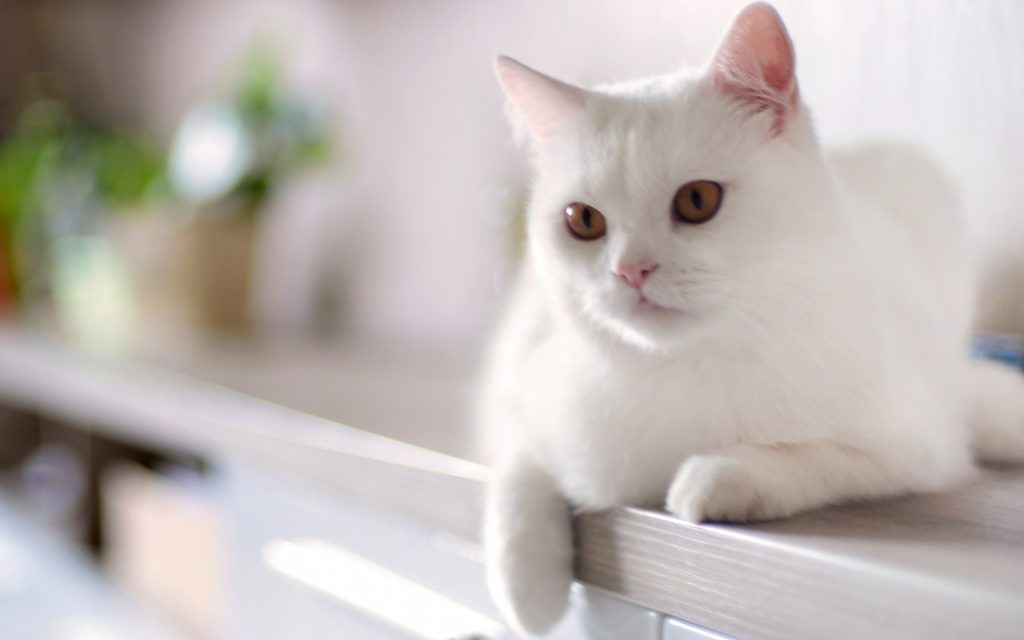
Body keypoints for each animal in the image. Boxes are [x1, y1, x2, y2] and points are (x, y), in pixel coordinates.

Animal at [477, 2, 1024, 634]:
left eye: (697, 201)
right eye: (583, 220)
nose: (631, 270)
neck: (686, 365)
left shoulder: (919, 448)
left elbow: (816, 457)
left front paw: (720, 477)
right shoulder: (520, 393)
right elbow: (518, 466)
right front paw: (525, 585)